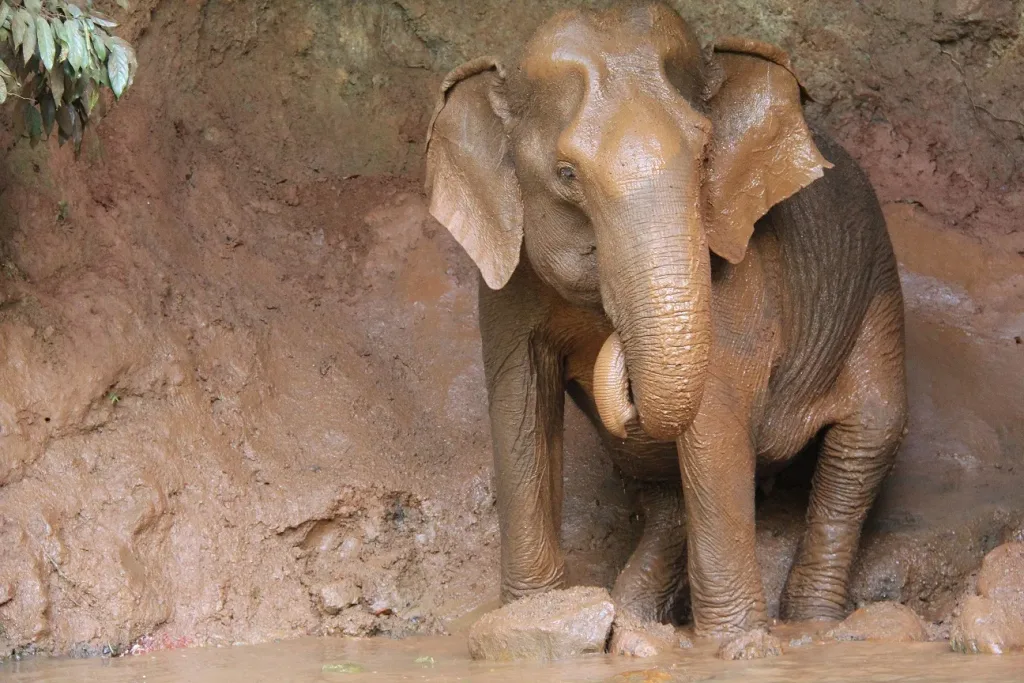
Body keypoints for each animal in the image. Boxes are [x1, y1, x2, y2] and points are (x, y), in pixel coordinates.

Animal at [424, 2, 908, 659]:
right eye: (566, 173)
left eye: (705, 158)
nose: (614, 346)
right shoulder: (505, 281)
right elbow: (520, 406)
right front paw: (530, 619)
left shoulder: (736, 269)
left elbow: (715, 428)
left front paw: (738, 649)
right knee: (659, 486)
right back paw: (633, 619)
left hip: (877, 298)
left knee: (863, 446)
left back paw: (812, 626)